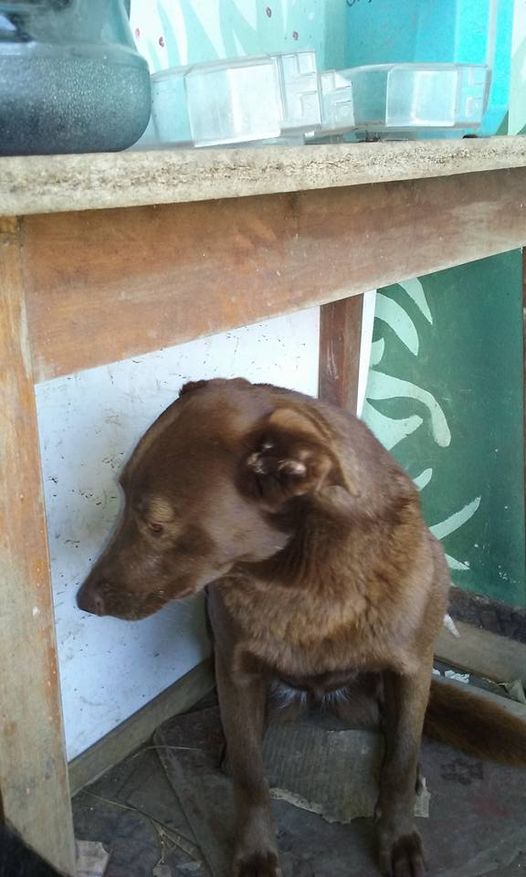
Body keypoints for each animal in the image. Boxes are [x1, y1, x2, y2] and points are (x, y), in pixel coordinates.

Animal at [77, 376, 526, 876]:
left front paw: (399, 838)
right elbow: (251, 778)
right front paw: (255, 853)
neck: (302, 581)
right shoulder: (236, 673)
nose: (83, 601)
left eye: (155, 524)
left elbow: (398, 763)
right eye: (120, 497)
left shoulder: (412, 670)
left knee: (399, 741)